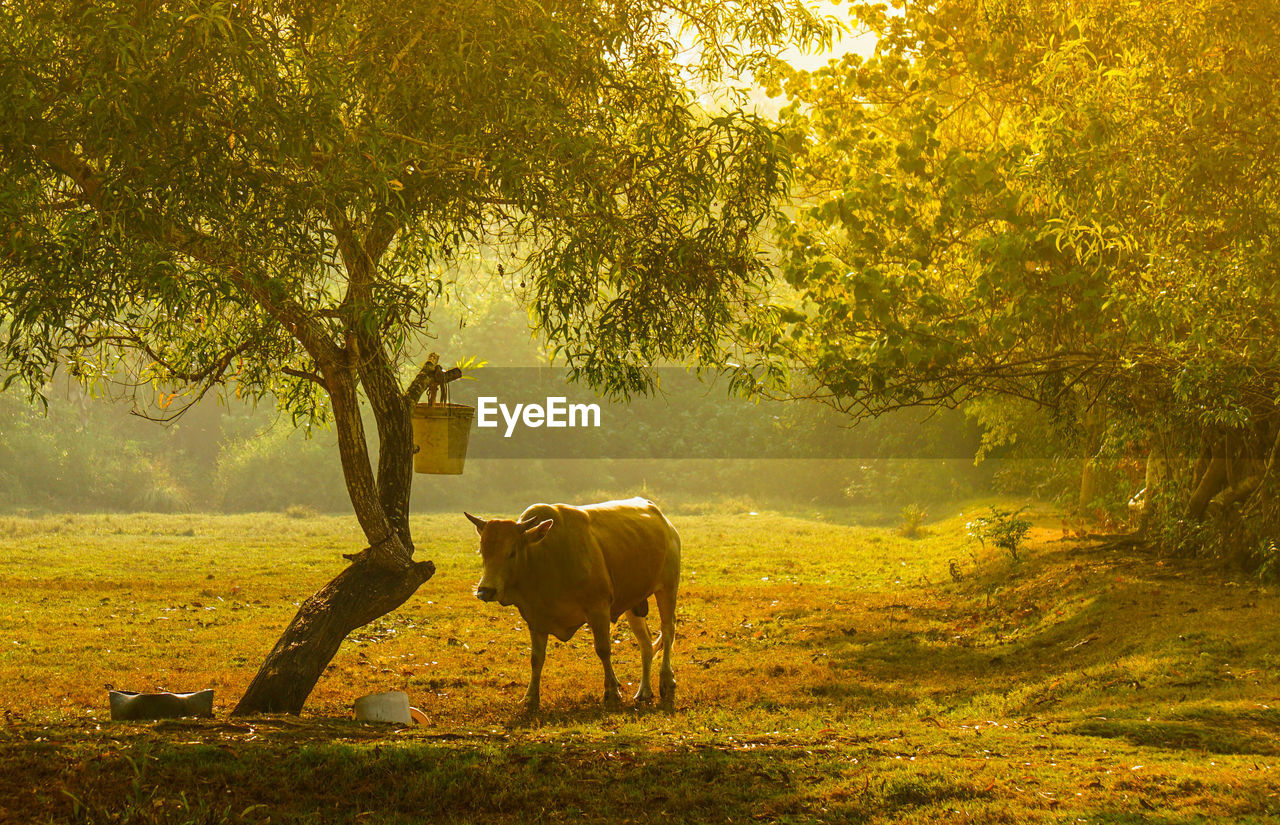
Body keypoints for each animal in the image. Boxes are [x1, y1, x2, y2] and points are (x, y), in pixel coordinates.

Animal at [463, 496, 680, 706]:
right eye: (482, 551)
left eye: (512, 552)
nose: (485, 590)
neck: (542, 559)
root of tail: (664, 521)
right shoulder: (536, 618)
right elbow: (536, 658)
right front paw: (531, 696)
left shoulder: (598, 608)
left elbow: (603, 649)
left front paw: (612, 691)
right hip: (633, 604)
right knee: (645, 643)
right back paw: (644, 691)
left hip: (668, 588)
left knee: (668, 630)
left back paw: (666, 679)